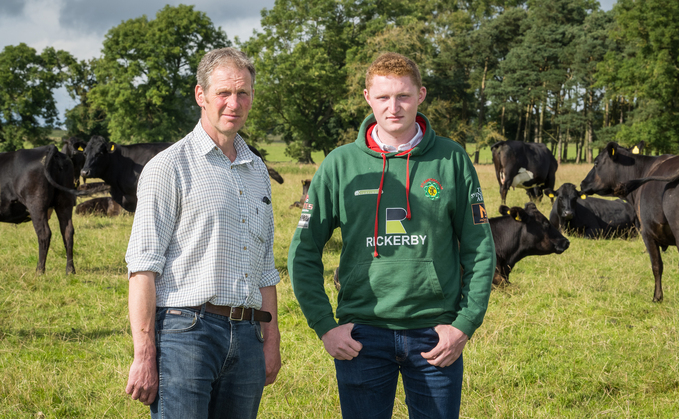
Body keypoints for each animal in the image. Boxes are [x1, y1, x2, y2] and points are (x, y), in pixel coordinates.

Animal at [0, 146, 77, 274]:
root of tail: (48, 148)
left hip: (36, 204)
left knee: (44, 233)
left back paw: (39, 271)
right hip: (64, 201)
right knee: (67, 231)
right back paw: (70, 270)